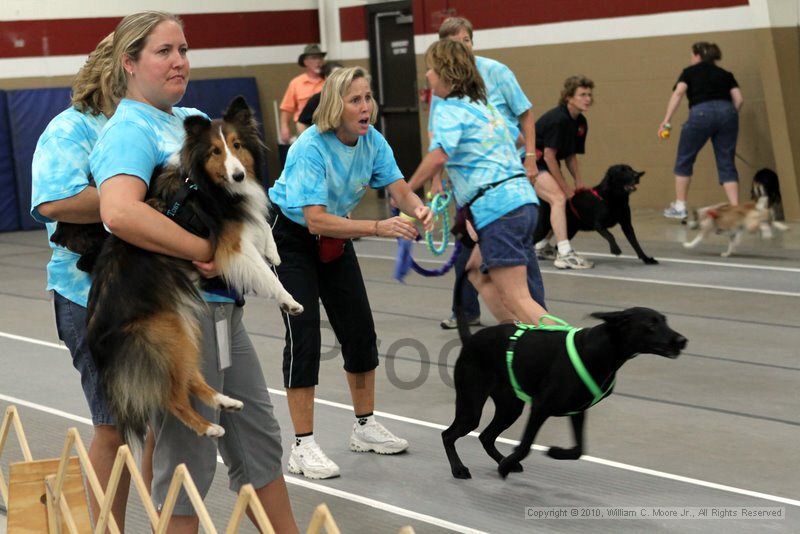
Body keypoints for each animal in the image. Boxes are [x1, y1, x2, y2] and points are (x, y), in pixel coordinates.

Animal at [83, 97, 304, 444]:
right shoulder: (231, 247)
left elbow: (262, 230)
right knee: (171, 396)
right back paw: (209, 427)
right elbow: (264, 272)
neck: (204, 184)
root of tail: (94, 337)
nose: (239, 175)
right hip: (167, 334)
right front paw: (289, 301)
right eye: (215, 151)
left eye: (237, 145)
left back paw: (224, 401)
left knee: (189, 379)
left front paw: (273, 250)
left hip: (185, 329)